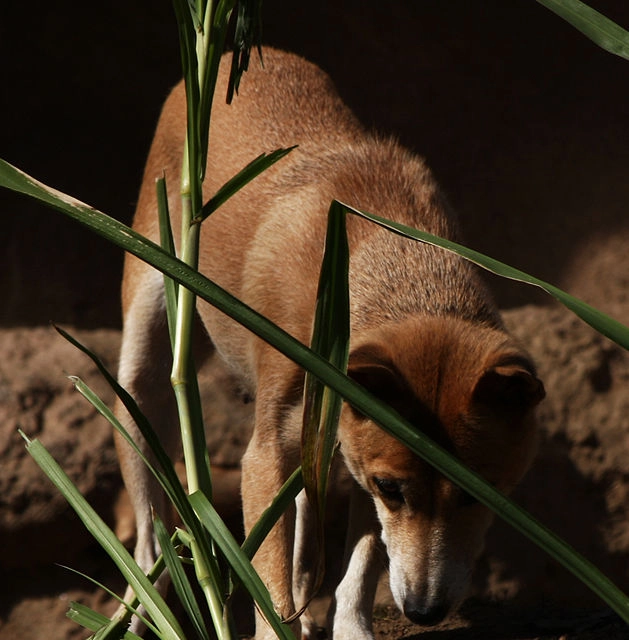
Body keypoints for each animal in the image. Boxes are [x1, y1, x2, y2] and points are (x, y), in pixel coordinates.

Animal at [115, 47, 544, 636]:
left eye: (482, 493)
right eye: (392, 489)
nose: (423, 611)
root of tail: (240, 54)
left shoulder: (357, 454)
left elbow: (360, 564)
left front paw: (350, 626)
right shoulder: (271, 455)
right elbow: (270, 583)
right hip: (147, 363)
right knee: (149, 534)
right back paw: (145, 611)